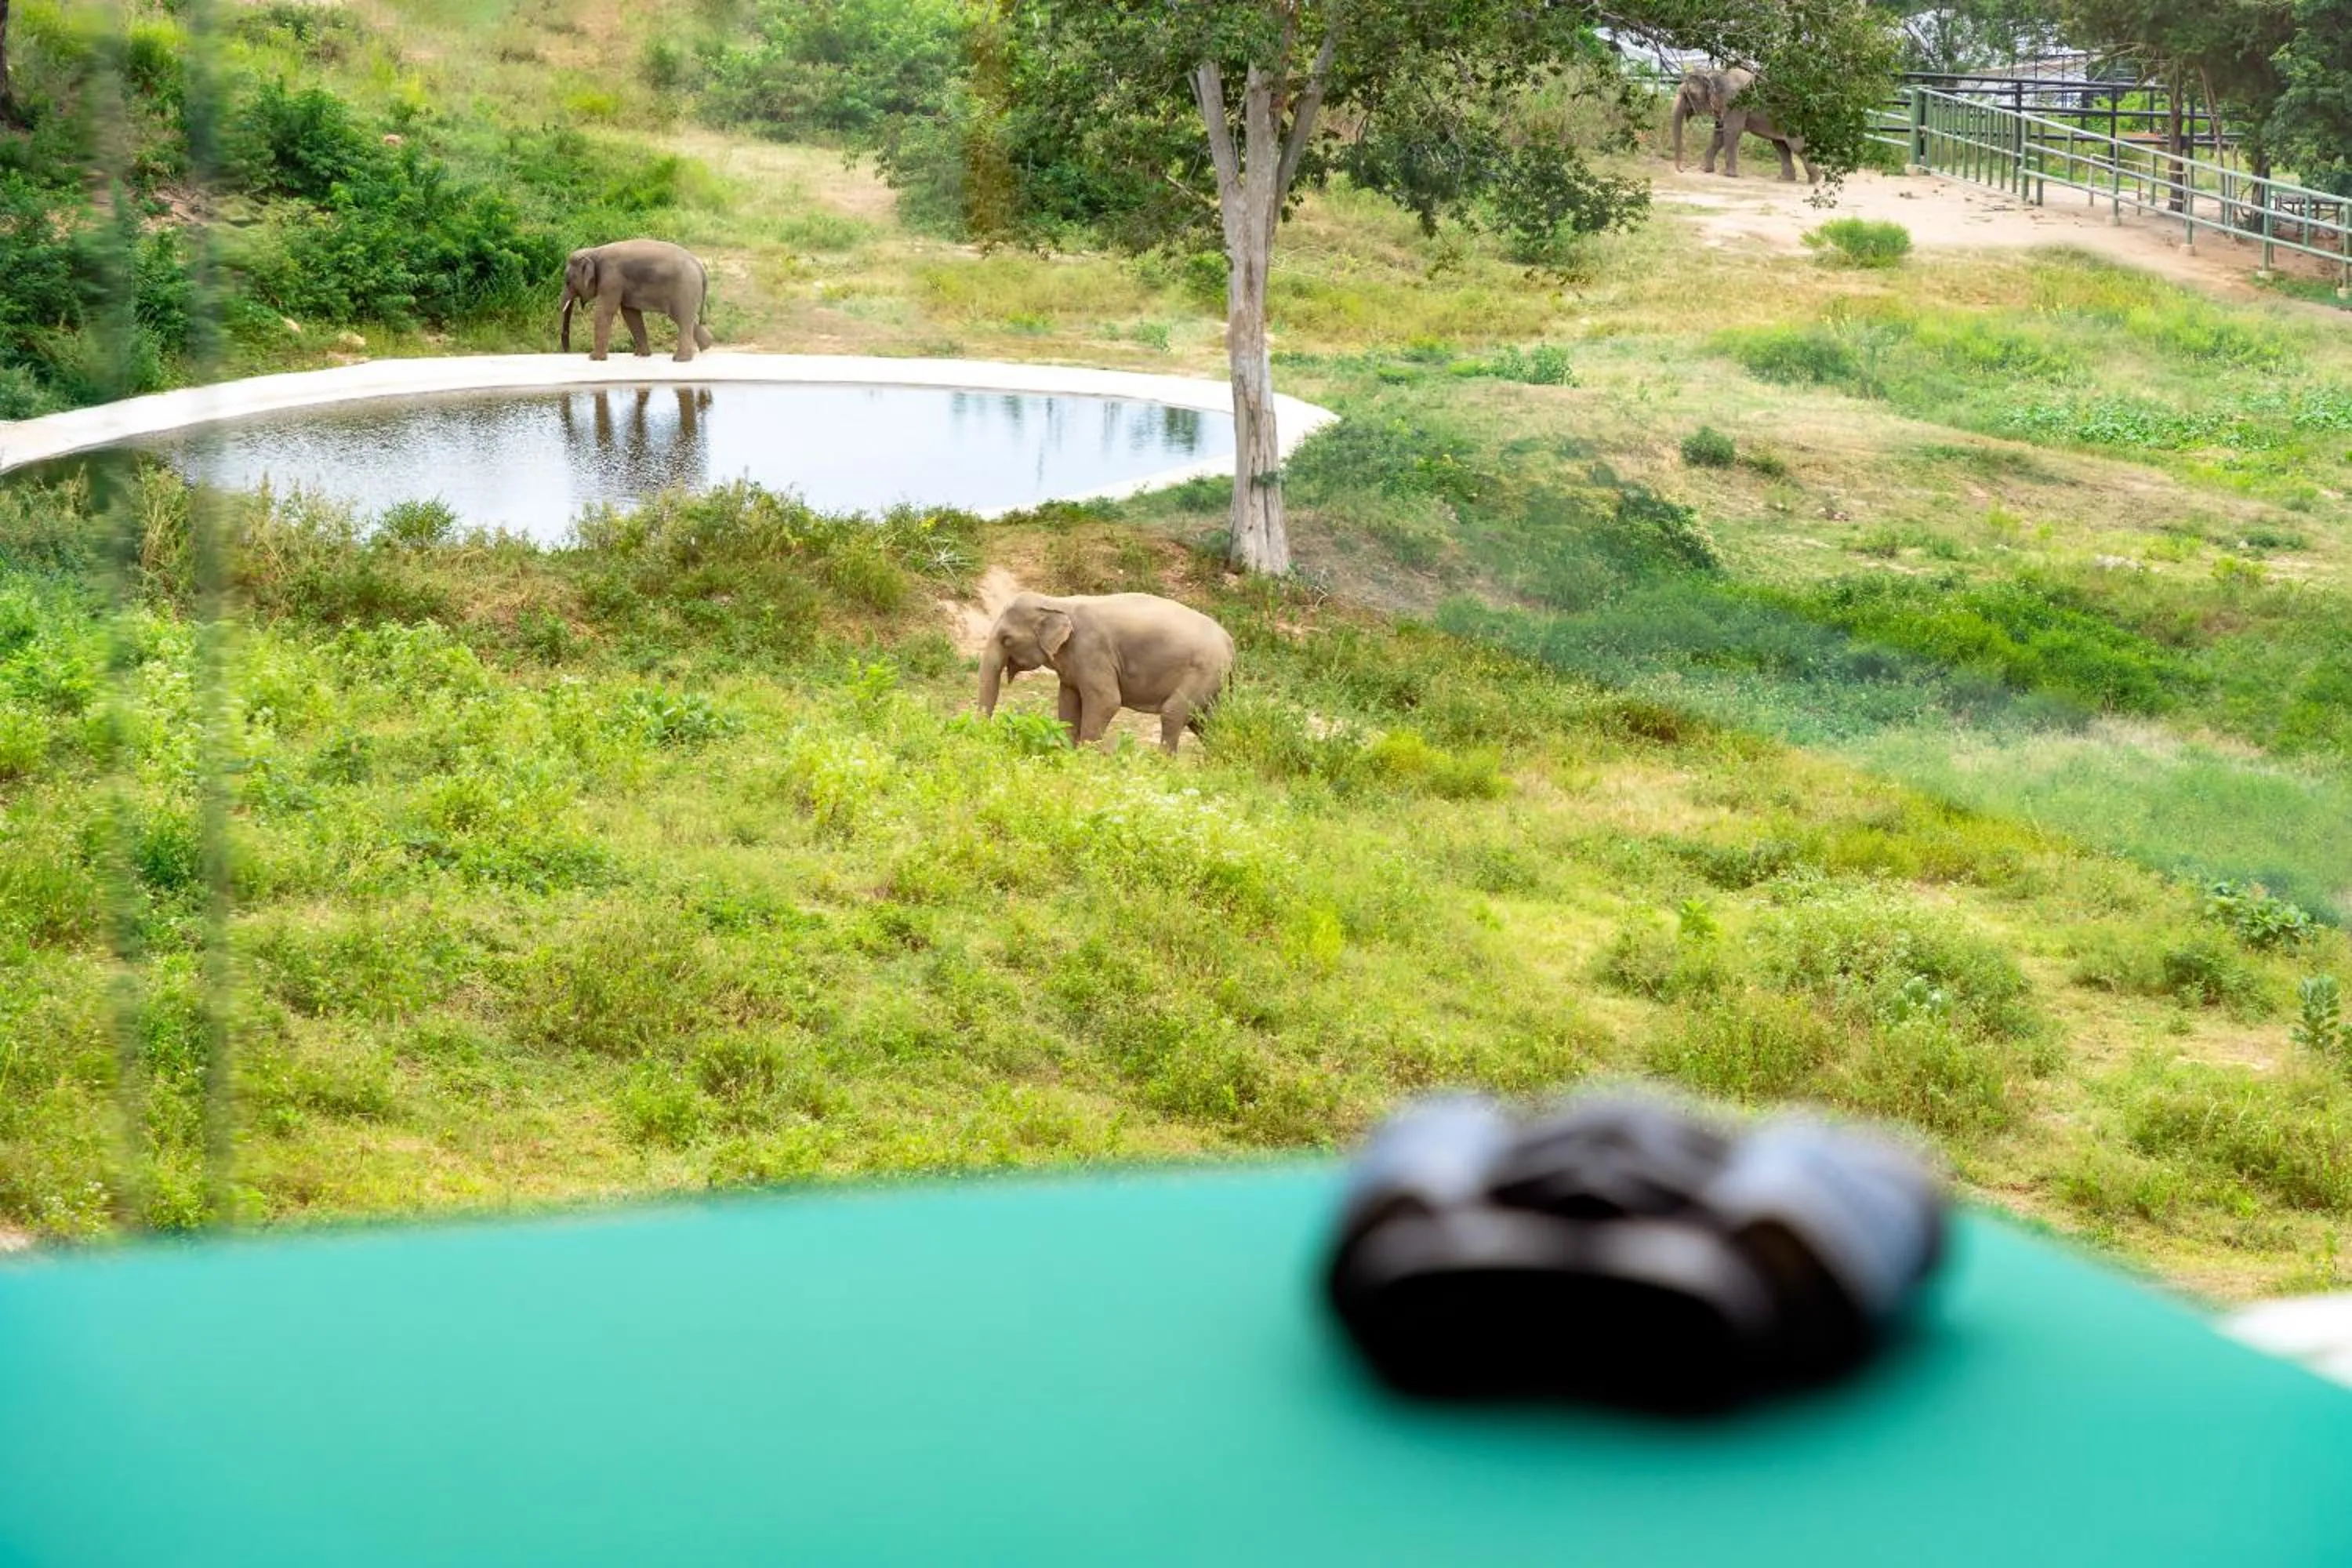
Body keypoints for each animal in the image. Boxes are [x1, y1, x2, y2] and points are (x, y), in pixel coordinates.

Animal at [559, 238, 715, 362]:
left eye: (568, 282)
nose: (567, 351)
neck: (594, 251)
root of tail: (700, 267)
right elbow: (630, 313)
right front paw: (641, 355)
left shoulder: (611, 278)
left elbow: (604, 311)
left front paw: (594, 358)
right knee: (683, 318)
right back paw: (707, 345)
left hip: (685, 288)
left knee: (682, 318)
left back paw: (680, 359)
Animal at [977, 591, 1235, 755]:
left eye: (1006, 639)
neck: (1056, 602)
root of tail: (1230, 642)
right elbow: (1068, 702)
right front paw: (1065, 752)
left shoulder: (1093, 651)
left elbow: (1106, 701)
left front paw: (1085, 760)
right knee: (1205, 721)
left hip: (1204, 670)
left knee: (1174, 713)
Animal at [1671, 67, 1817, 184]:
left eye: (1687, 95)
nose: (1682, 170)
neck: (1716, 74)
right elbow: (1718, 134)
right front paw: (1704, 170)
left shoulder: (1736, 103)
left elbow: (1731, 131)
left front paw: (1729, 175)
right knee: (1781, 146)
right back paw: (1785, 179)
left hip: (1793, 121)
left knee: (1797, 146)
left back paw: (1815, 181)